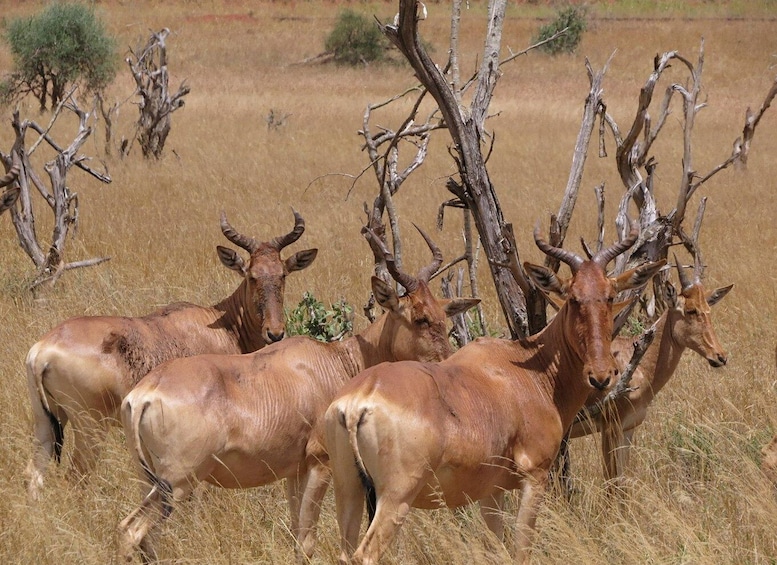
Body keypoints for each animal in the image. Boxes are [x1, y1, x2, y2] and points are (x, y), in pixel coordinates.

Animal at [25, 210, 316, 498]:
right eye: (251, 275)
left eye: (282, 274)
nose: (275, 333)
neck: (220, 325)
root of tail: (42, 350)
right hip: (90, 427)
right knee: (75, 477)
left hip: (46, 422)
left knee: (35, 474)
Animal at [116, 226, 478, 564]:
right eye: (419, 318)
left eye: (443, 316)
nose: (448, 367)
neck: (333, 361)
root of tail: (143, 395)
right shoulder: (320, 464)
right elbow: (306, 542)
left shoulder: (295, 471)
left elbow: (294, 535)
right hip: (177, 482)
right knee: (130, 530)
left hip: (149, 479)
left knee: (147, 538)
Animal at [324, 223, 664, 560]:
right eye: (572, 297)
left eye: (609, 295)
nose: (601, 375)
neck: (526, 372)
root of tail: (358, 401)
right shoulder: (535, 476)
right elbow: (521, 550)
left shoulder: (491, 493)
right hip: (396, 497)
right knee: (364, 554)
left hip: (348, 491)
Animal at [560, 256, 732, 494]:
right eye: (689, 310)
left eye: (708, 308)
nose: (720, 356)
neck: (632, 360)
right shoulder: (609, 428)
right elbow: (611, 484)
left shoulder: (629, 429)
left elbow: (622, 482)